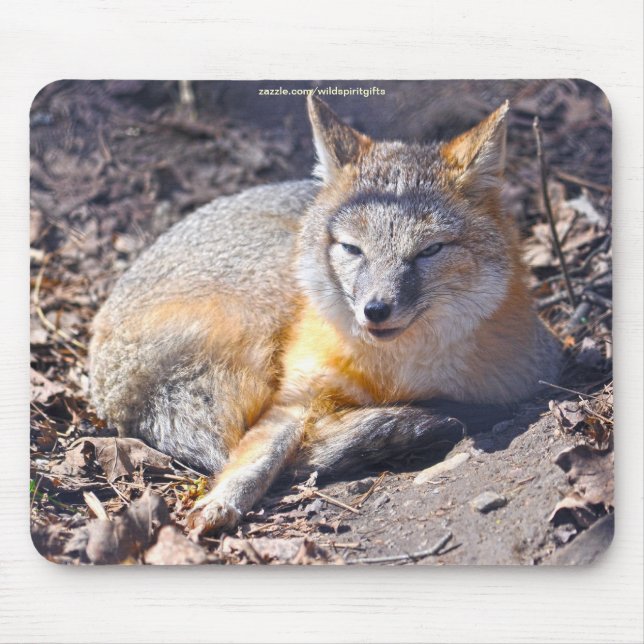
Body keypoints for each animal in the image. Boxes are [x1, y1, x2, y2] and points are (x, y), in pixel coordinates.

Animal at [89, 95, 561, 536]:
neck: (394, 374)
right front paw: (222, 501)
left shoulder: (532, 373)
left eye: (429, 251)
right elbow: (260, 455)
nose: (375, 310)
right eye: (352, 248)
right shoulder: (293, 397)